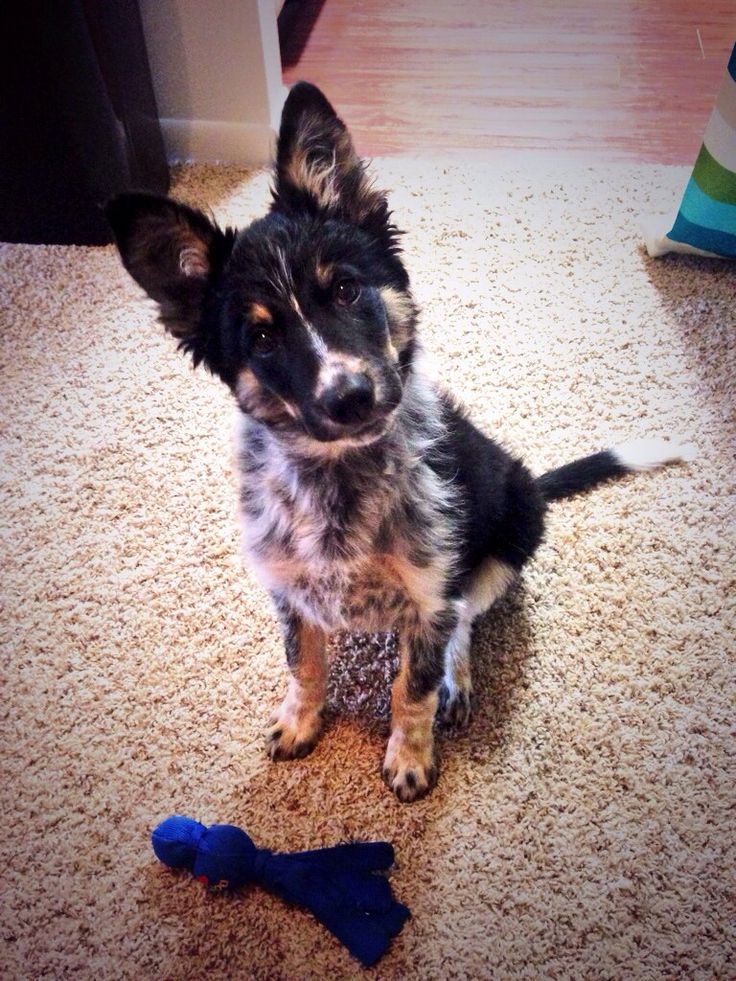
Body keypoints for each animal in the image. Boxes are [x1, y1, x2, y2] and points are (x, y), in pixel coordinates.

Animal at [106, 84, 692, 800]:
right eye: (263, 338)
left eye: (347, 289)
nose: (349, 396)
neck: (338, 481)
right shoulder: (288, 589)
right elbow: (303, 663)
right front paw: (300, 720)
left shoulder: (431, 590)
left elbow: (411, 689)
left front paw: (410, 756)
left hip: (510, 536)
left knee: (465, 622)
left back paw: (456, 684)